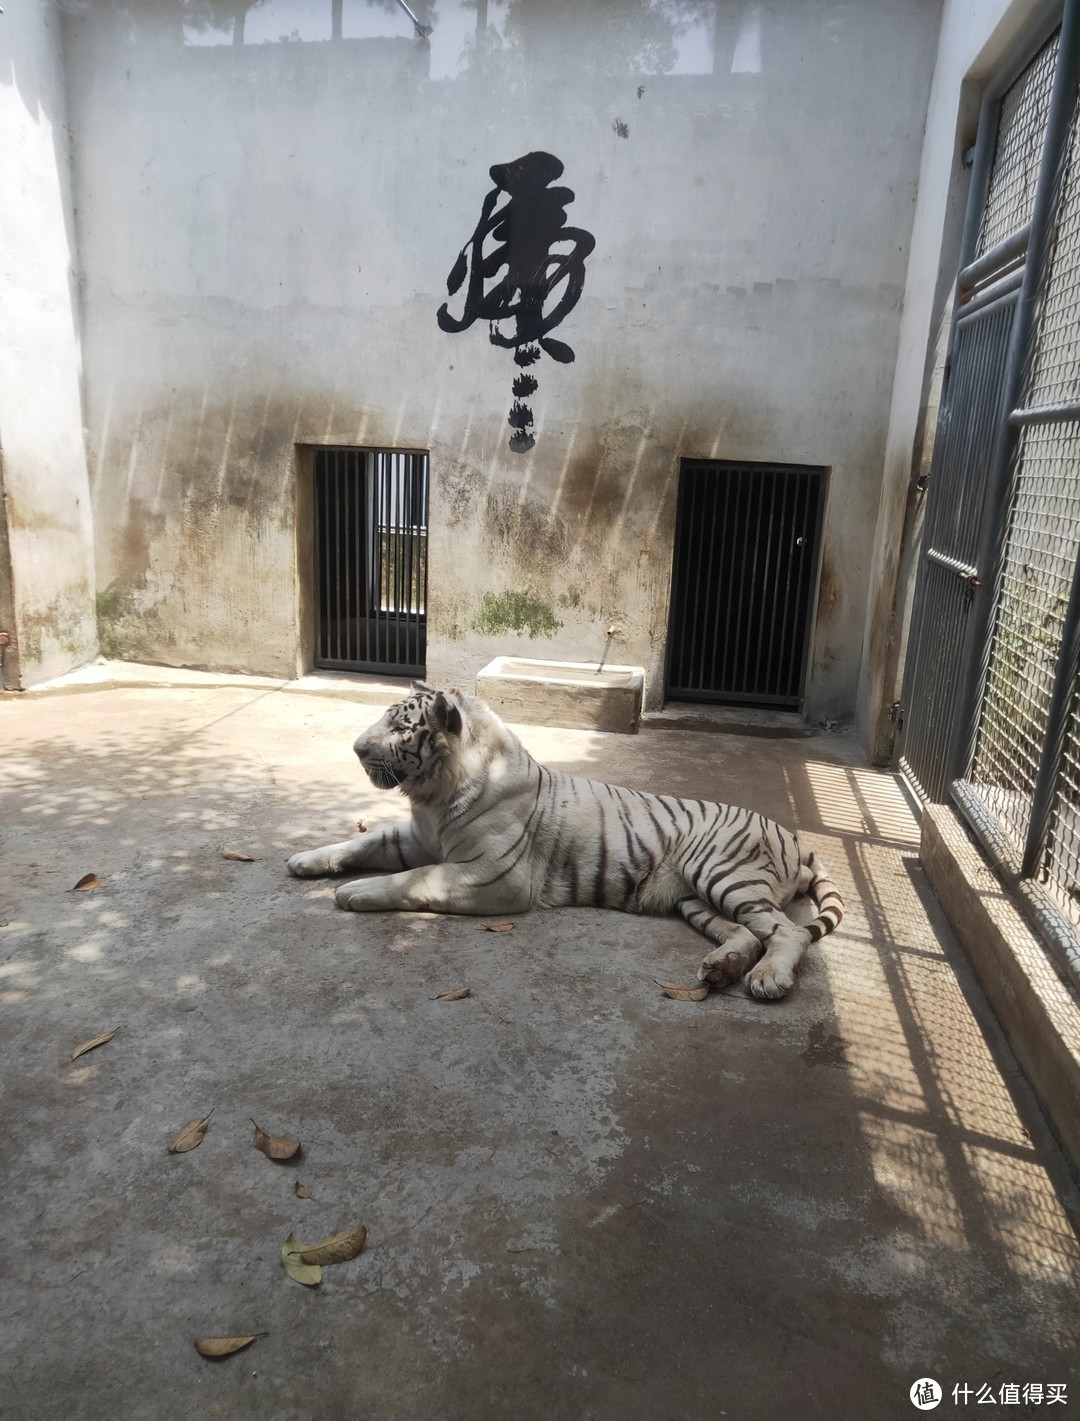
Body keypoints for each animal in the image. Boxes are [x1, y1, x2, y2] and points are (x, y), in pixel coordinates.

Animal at [287, 684, 841, 1000]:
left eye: (401, 726)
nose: (355, 749)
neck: (435, 794)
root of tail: (793, 835)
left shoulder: (492, 876)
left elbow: (411, 879)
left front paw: (354, 892)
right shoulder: (419, 837)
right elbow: (361, 843)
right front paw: (304, 859)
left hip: (723, 873)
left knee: (788, 931)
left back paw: (767, 980)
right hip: (692, 898)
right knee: (747, 932)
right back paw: (722, 969)